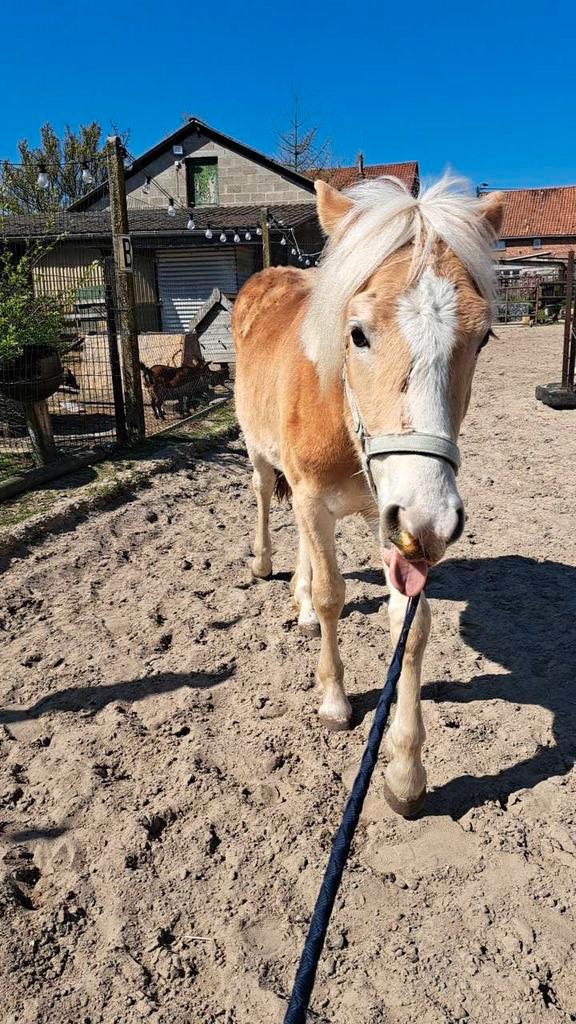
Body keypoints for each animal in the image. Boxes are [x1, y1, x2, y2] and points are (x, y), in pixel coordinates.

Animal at [232, 175, 504, 817]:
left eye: (482, 338)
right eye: (357, 333)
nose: (434, 521)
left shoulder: (394, 515)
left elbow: (410, 621)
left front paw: (405, 771)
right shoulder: (317, 497)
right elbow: (334, 595)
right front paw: (334, 701)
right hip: (259, 453)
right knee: (264, 495)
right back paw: (265, 564)